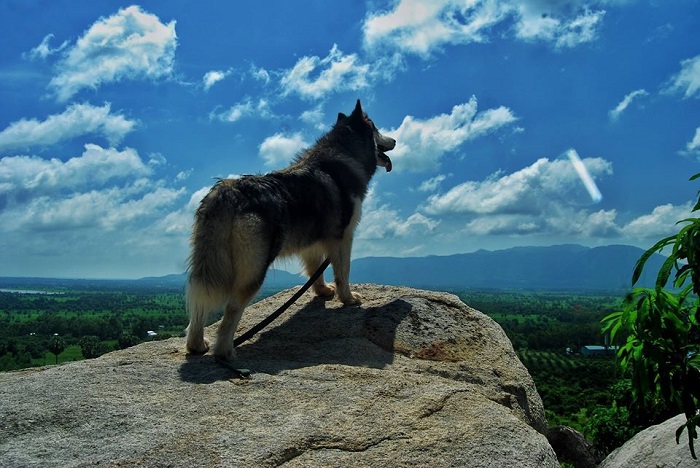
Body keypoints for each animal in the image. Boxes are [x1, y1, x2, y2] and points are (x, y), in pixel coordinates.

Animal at [185, 98, 394, 362]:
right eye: (377, 129)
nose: (395, 140)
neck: (344, 154)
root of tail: (229, 191)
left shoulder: (313, 243)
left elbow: (315, 270)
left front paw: (322, 291)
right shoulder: (343, 237)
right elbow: (343, 273)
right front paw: (347, 299)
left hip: (209, 264)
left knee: (198, 307)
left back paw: (197, 345)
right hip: (254, 268)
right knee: (232, 309)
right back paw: (227, 353)